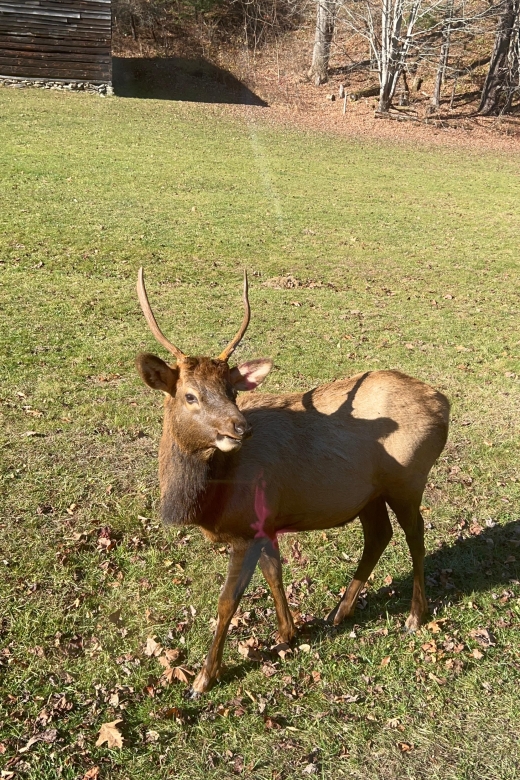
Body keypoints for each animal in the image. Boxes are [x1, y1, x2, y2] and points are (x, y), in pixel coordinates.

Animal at [135, 268, 450, 695]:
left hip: (408, 479)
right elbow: (275, 573)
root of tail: (444, 404)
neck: (205, 504)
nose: (240, 427)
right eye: (190, 395)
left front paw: (204, 677)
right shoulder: (266, 523)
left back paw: (415, 615)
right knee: (379, 534)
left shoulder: (246, 527)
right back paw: (339, 612)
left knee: (416, 533)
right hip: (370, 493)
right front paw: (289, 633)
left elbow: (227, 601)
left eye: (232, 390)